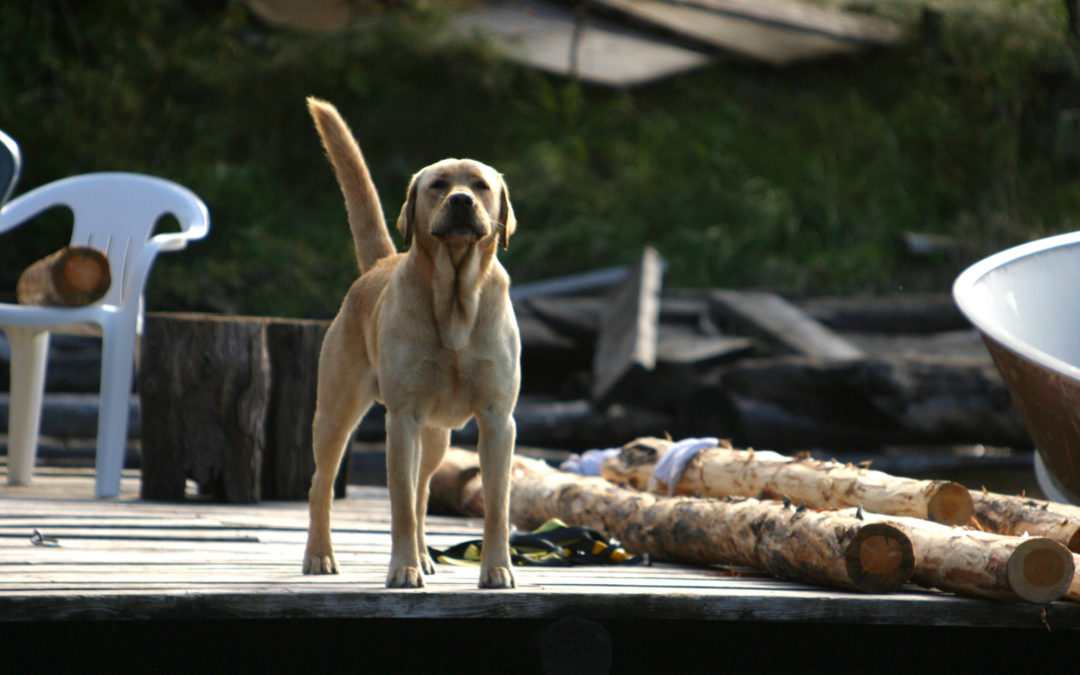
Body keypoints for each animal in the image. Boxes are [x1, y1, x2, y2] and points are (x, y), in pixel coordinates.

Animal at [302, 97, 520, 587]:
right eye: (438, 185)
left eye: (480, 186)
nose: (461, 201)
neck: (456, 298)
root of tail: (376, 265)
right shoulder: (402, 419)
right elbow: (398, 504)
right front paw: (402, 569)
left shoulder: (498, 420)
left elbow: (496, 507)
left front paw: (497, 568)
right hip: (336, 415)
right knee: (321, 486)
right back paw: (320, 556)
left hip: (436, 437)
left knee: (422, 493)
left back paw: (425, 555)